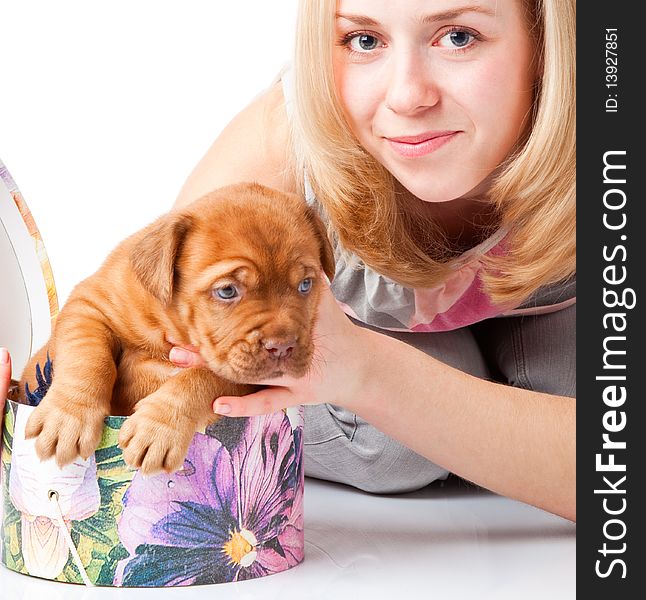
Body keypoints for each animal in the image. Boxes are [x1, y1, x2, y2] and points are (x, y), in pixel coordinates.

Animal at [20, 185, 334, 476]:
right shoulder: (90, 306)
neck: (172, 327)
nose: (282, 346)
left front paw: (157, 430)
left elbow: (199, 379)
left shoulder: (244, 380)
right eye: (227, 291)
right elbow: (87, 356)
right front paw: (66, 418)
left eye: (305, 285)